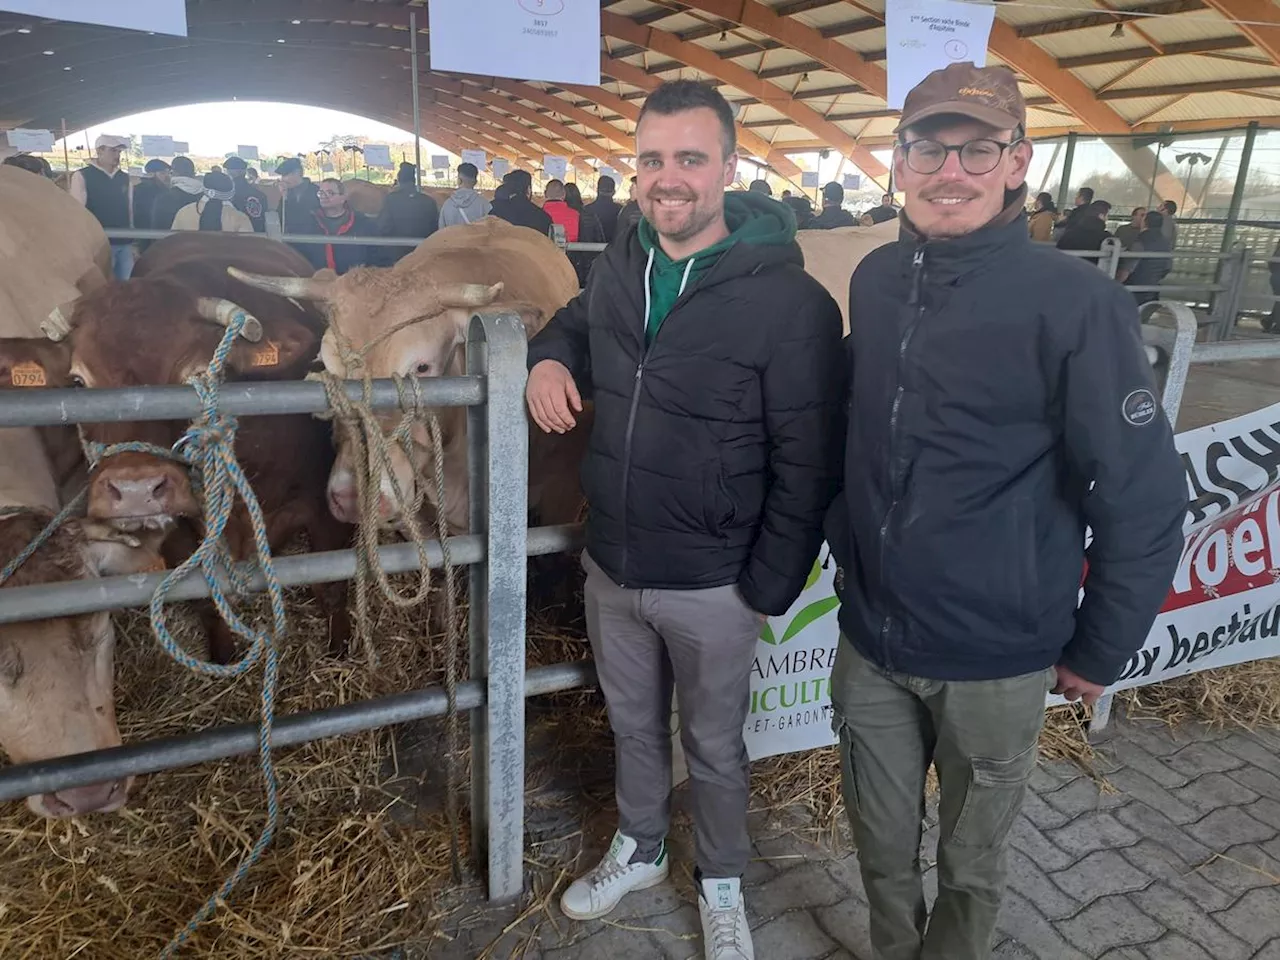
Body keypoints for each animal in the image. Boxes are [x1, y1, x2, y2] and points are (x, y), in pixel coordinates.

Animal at [36, 232, 355, 670]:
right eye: (78, 382)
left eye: (197, 376)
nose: (135, 491)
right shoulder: (176, 535)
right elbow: (206, 601)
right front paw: (223, 658)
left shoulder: (326, 508)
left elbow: (332, 586)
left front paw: (341, 650)